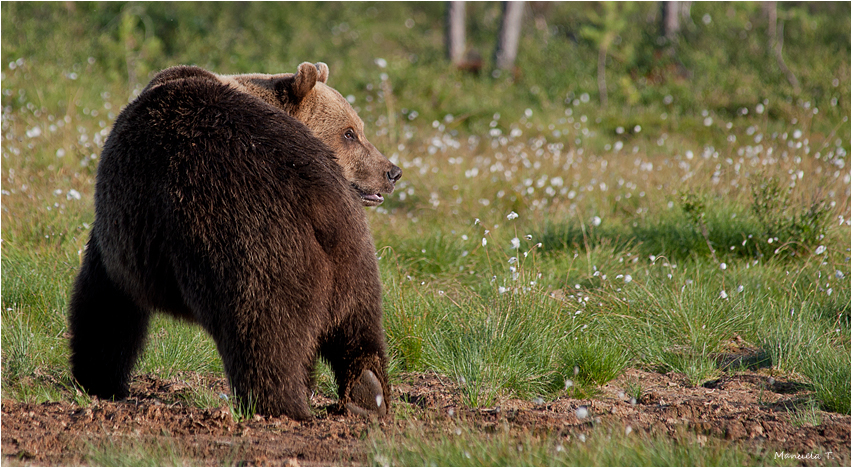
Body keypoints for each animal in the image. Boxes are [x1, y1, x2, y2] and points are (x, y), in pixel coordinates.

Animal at [69, 63, 400, 420]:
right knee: (360, 323)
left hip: (249, 242)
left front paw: (97, 378)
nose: (392, 172)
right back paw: (367, 392)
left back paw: (278, 404)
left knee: (265, 331)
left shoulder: (128, 223)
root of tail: (322, 198)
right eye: (350, 132)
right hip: (353, 253)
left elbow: (107, 298)